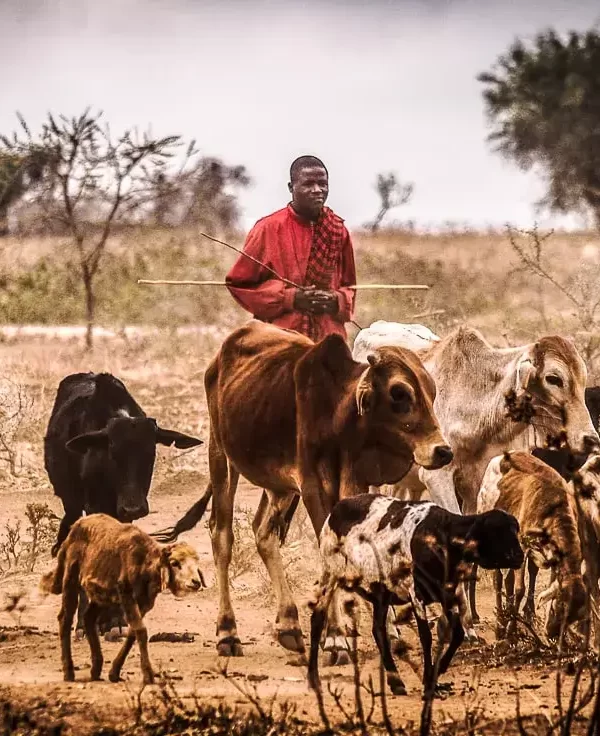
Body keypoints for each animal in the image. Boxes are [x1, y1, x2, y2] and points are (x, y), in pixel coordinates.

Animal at [40, 512, 204, 684]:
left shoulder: (145, 602)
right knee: (65, 618)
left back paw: (96, 669)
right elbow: (141, 630)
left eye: (196, 562)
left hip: (102, 592)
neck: (144, 562)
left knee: (89, 617)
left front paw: (114, 672)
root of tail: (74, 527)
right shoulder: (127, 595)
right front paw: (148, 674)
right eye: (175, 563)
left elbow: (133, 632)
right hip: (70, 578)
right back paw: (69, 672)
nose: (196, 582)